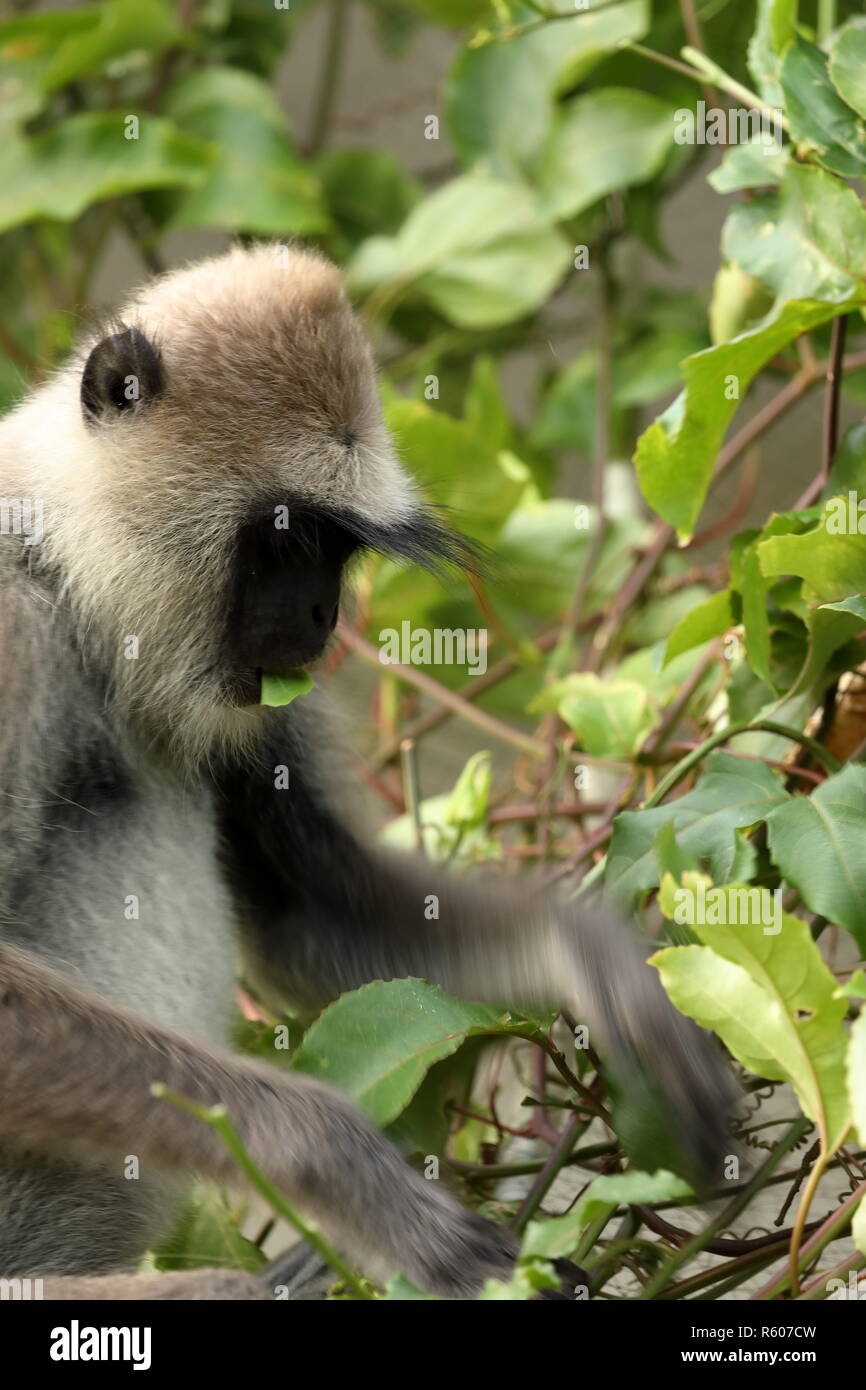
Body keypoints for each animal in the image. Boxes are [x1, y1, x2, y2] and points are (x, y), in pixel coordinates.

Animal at [0, 241, 733, 1301]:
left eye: (334, 549)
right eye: (287, 538)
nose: (320, 617)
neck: (58, 568)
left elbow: (311, 910)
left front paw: (606, 969)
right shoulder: (13, 628)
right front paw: (346, 1172)